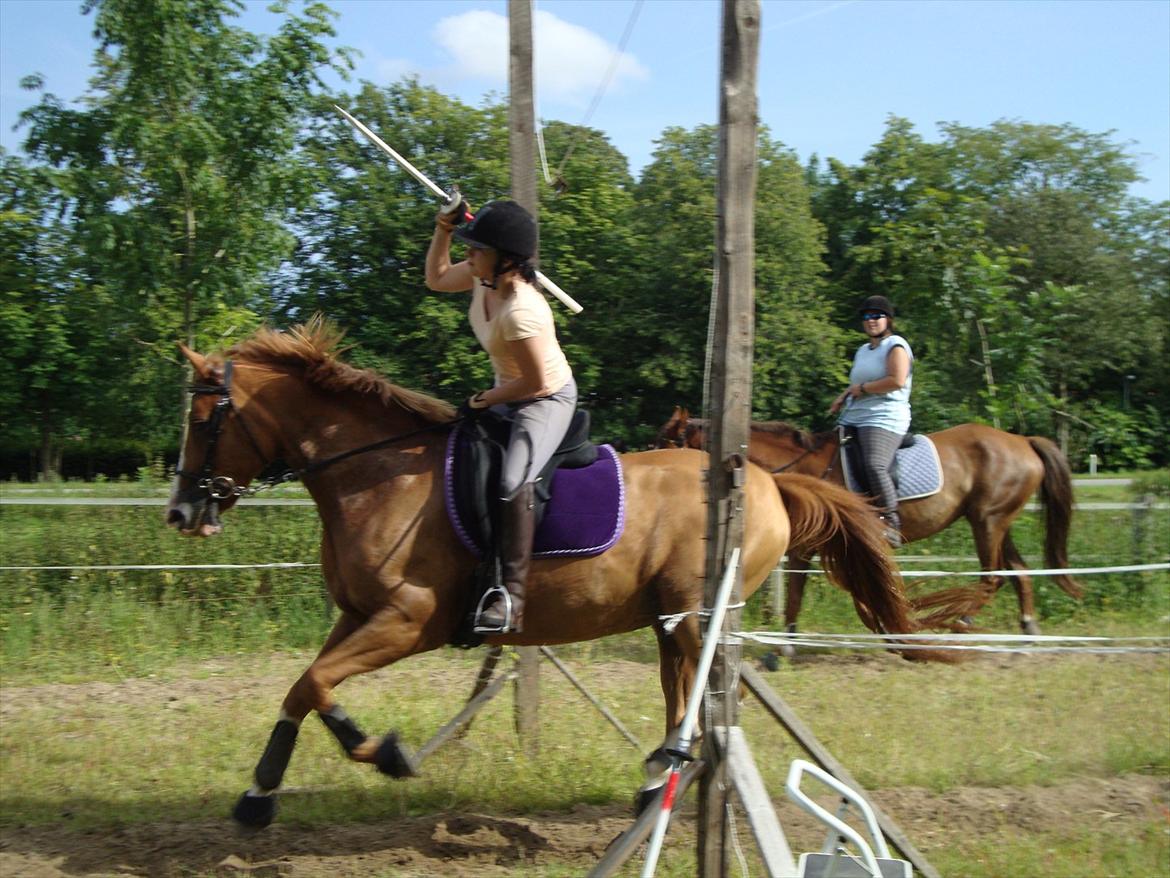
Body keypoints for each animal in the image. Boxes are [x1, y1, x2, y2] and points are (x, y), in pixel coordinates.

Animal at [170, 320, 959, 828]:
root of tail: (767, 481)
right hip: (670, 618)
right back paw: (657, 779)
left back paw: (673, 775)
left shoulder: (406, 621)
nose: (182, 511)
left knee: (707, 691)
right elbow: (306, 686)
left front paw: (383, 755)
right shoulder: (358, 616)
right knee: (682, 687)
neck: (375, 473)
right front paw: (263, 792)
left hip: (692, 613)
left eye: (205, 420)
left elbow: (315, 685)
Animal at [655, 405, 1081, 641]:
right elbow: (798, 591)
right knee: (1019, 572)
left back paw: (962, 621)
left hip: (987, 522)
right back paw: (1028, 629)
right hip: (994, 520)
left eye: (668, 443)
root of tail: (1022, 441)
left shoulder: (810, 545)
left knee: (993, 576)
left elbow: (800, 590)